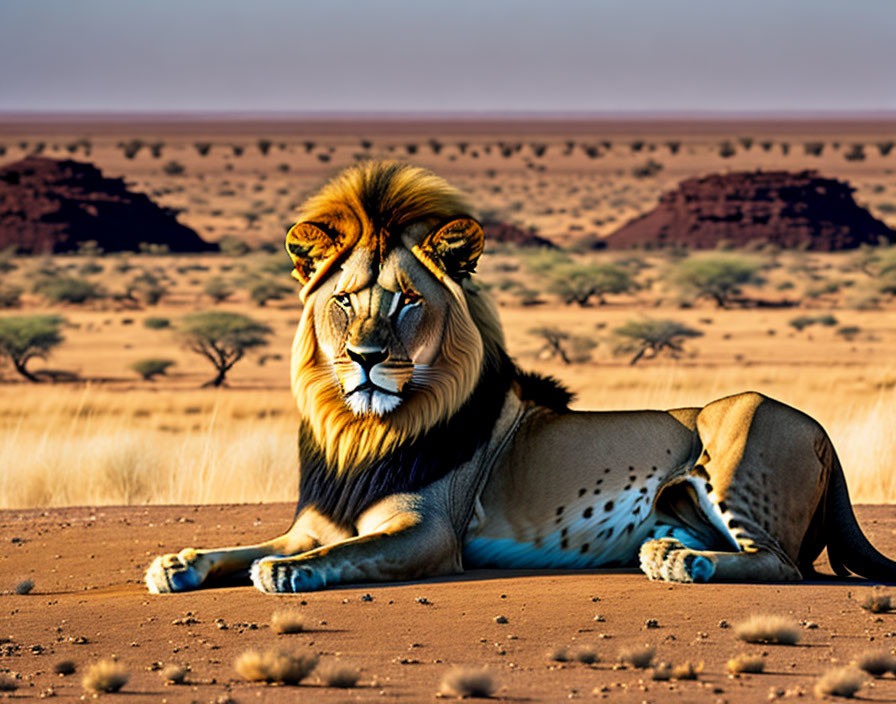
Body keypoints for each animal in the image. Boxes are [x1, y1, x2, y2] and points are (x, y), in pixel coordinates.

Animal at [145, 160, 896, 592]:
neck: (359, 430)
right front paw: (179, 561)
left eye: (407, 300)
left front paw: (283, 573)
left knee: (784, 562)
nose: (364, 356)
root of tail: (821, 431)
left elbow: (335, 554)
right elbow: (242, 546)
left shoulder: (430, 532)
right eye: (345, 300)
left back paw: (682, 565)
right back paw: (665, 550)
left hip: (744, 424)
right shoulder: (313, 522)